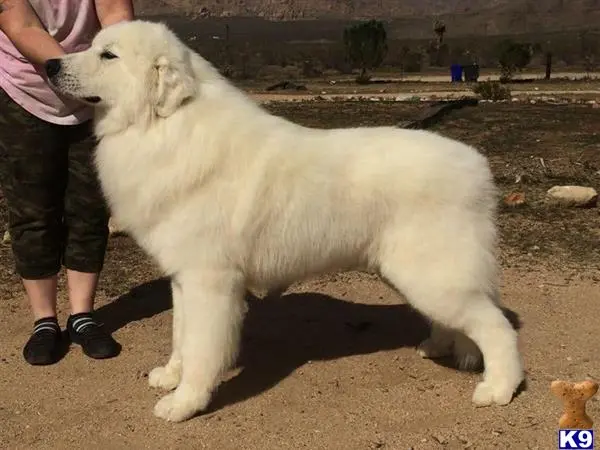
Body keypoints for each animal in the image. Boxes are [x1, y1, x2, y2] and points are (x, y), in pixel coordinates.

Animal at [48, 20, 524, 422]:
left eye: (108, 55)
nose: (50, 64)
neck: (164, 127)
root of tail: (477, 165)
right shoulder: (184, 279)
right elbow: (181, 336)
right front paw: (170, 375)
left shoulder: (209, 281)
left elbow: (201, 348)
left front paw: (185, 402)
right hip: (419, 276)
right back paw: (440, 348)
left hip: (434, 276)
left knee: (496, 327)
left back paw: (499, 388)